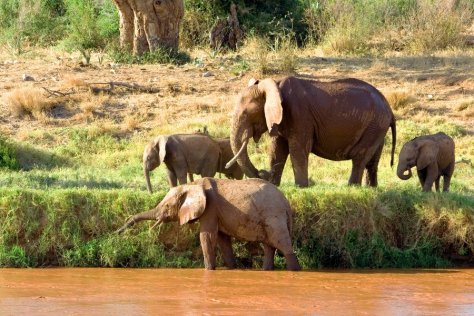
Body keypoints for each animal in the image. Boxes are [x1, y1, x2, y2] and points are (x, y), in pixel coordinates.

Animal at [119, 178, 304, 272]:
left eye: (166, 206)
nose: (117, 233)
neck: (192, 185)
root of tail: (286, 202)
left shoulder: (210, 208)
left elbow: (207, 236)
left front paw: (208, 271)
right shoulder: (217, 212)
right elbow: (223, 239)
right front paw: (232, 269)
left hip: (274, 216)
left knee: (283, 244)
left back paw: (295, 271)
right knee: (269, 246)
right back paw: (267, 271)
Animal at [226, 76, 396, 188]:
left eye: (247, 114)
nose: (262, 174)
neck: (276, 84)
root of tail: (389, 108)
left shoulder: (299, 115)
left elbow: (298, 150)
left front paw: (301, 187)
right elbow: (277, 150)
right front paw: (274, 186)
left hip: (376, 123)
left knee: (360, 157)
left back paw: (352, 187)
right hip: (377, 126)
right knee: (372, 161)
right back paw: (371, 188)